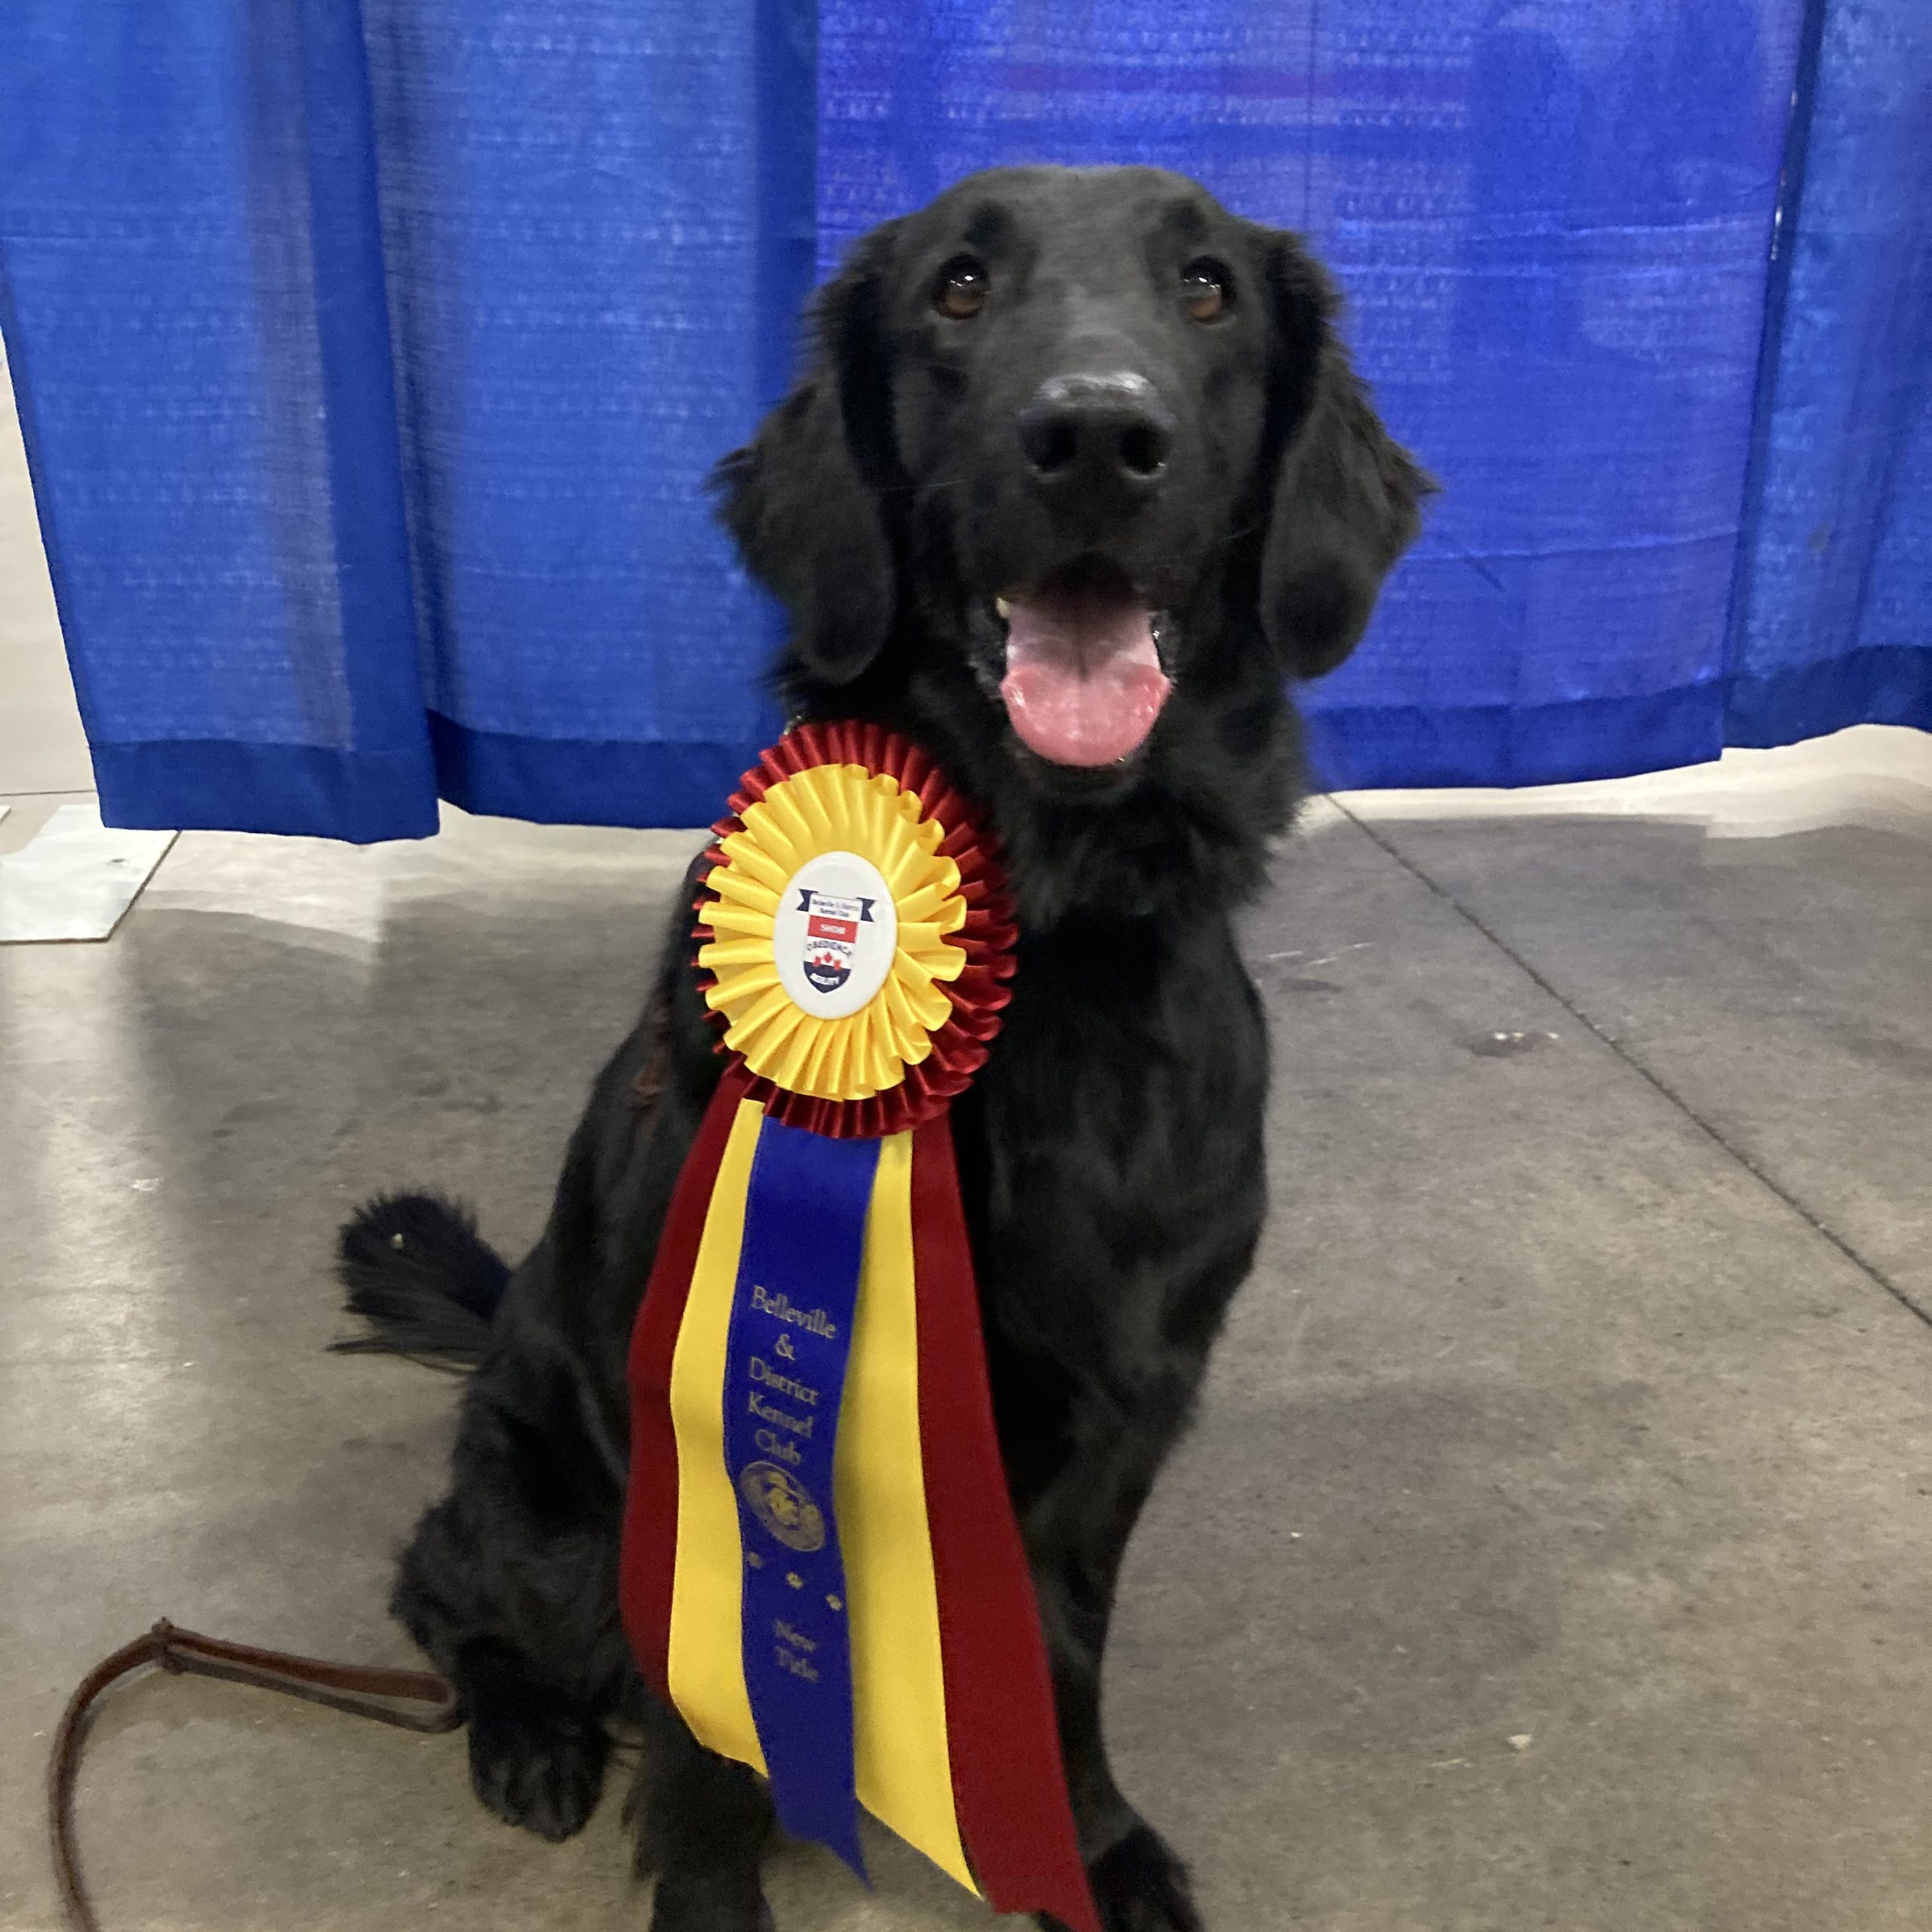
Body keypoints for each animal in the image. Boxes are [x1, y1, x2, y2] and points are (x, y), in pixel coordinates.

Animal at [337, 164, 1429, 1931]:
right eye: (958, 289)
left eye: (1204, 290)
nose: (1096, 434)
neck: (1040, 938)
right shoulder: (699, 1430)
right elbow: (705, 1737)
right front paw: (707, 1897)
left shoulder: (1122, 1424)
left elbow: (1064, 1667)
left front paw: (1089, 1849)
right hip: (542, 1514)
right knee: (442, 1587)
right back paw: (529, 1733)